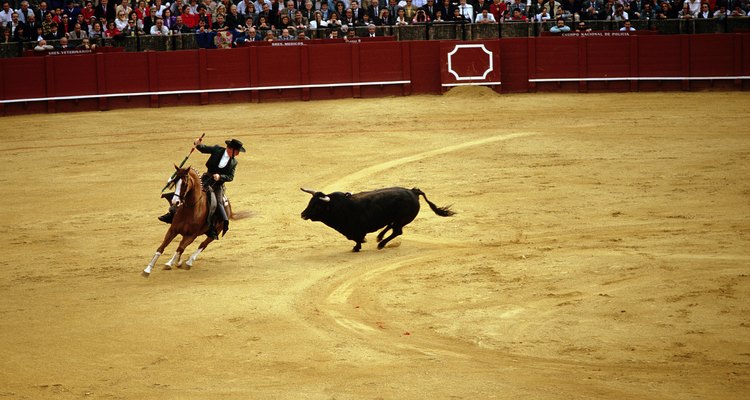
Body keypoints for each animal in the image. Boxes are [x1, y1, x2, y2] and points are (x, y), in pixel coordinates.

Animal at [302, 187, 456, 250]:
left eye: (317, 205)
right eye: (310, 202)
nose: (302, 214)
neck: (337, 207)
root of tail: (413, 191)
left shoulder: (356, 230)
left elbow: (357, 239)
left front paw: (356, 247)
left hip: (402, 219)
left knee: (397, 231)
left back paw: (381, 244)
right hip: (398, 219)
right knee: (391, 226)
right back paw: (379, 237)